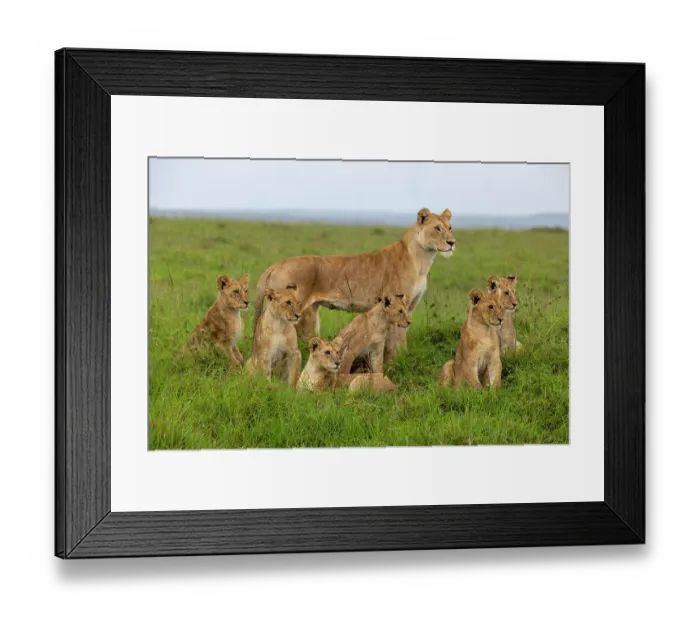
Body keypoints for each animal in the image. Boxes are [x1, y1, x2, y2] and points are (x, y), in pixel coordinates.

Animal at [253, 208, 455, 362]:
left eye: (450, 228)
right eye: (437, 228)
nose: (452, 242)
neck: (423, 260)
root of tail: (277, 264)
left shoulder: (408, 309)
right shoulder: (398, 304)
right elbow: (396, 341)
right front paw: (396, 361)